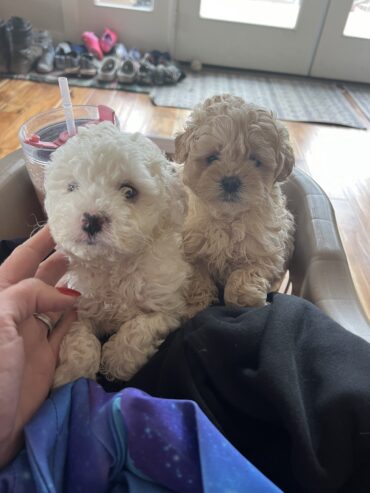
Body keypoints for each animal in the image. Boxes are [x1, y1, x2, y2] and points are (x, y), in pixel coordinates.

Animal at [44, 120, 189, 384]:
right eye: (72, 187)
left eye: (129, 191)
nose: (91, 219)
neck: (112, 266)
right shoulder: (73, 300)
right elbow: (78, 335)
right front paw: (73, 373)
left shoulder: (168, 307)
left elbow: (141, 326)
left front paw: (118, 360)